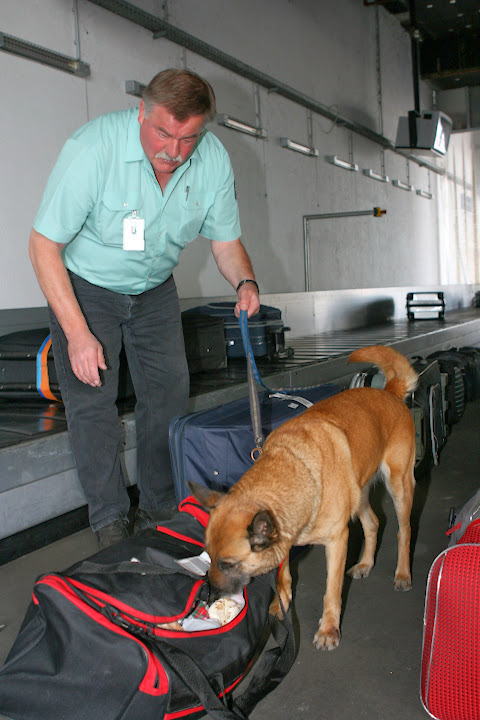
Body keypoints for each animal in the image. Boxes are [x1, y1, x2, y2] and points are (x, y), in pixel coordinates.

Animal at [189, 346, 418, 648]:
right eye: (209, 556)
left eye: (228, 564)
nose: (208, 595)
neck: (296, 470)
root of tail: (390, 392)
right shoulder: (284, 539)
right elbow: (283, 576)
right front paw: (281, 603)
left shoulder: (337, 541)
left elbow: (331, 591)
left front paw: (329, 629)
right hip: (359, 494)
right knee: (373, 523)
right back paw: (366, 563)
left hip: (399, 486)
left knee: (404, 530)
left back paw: (403, 573)